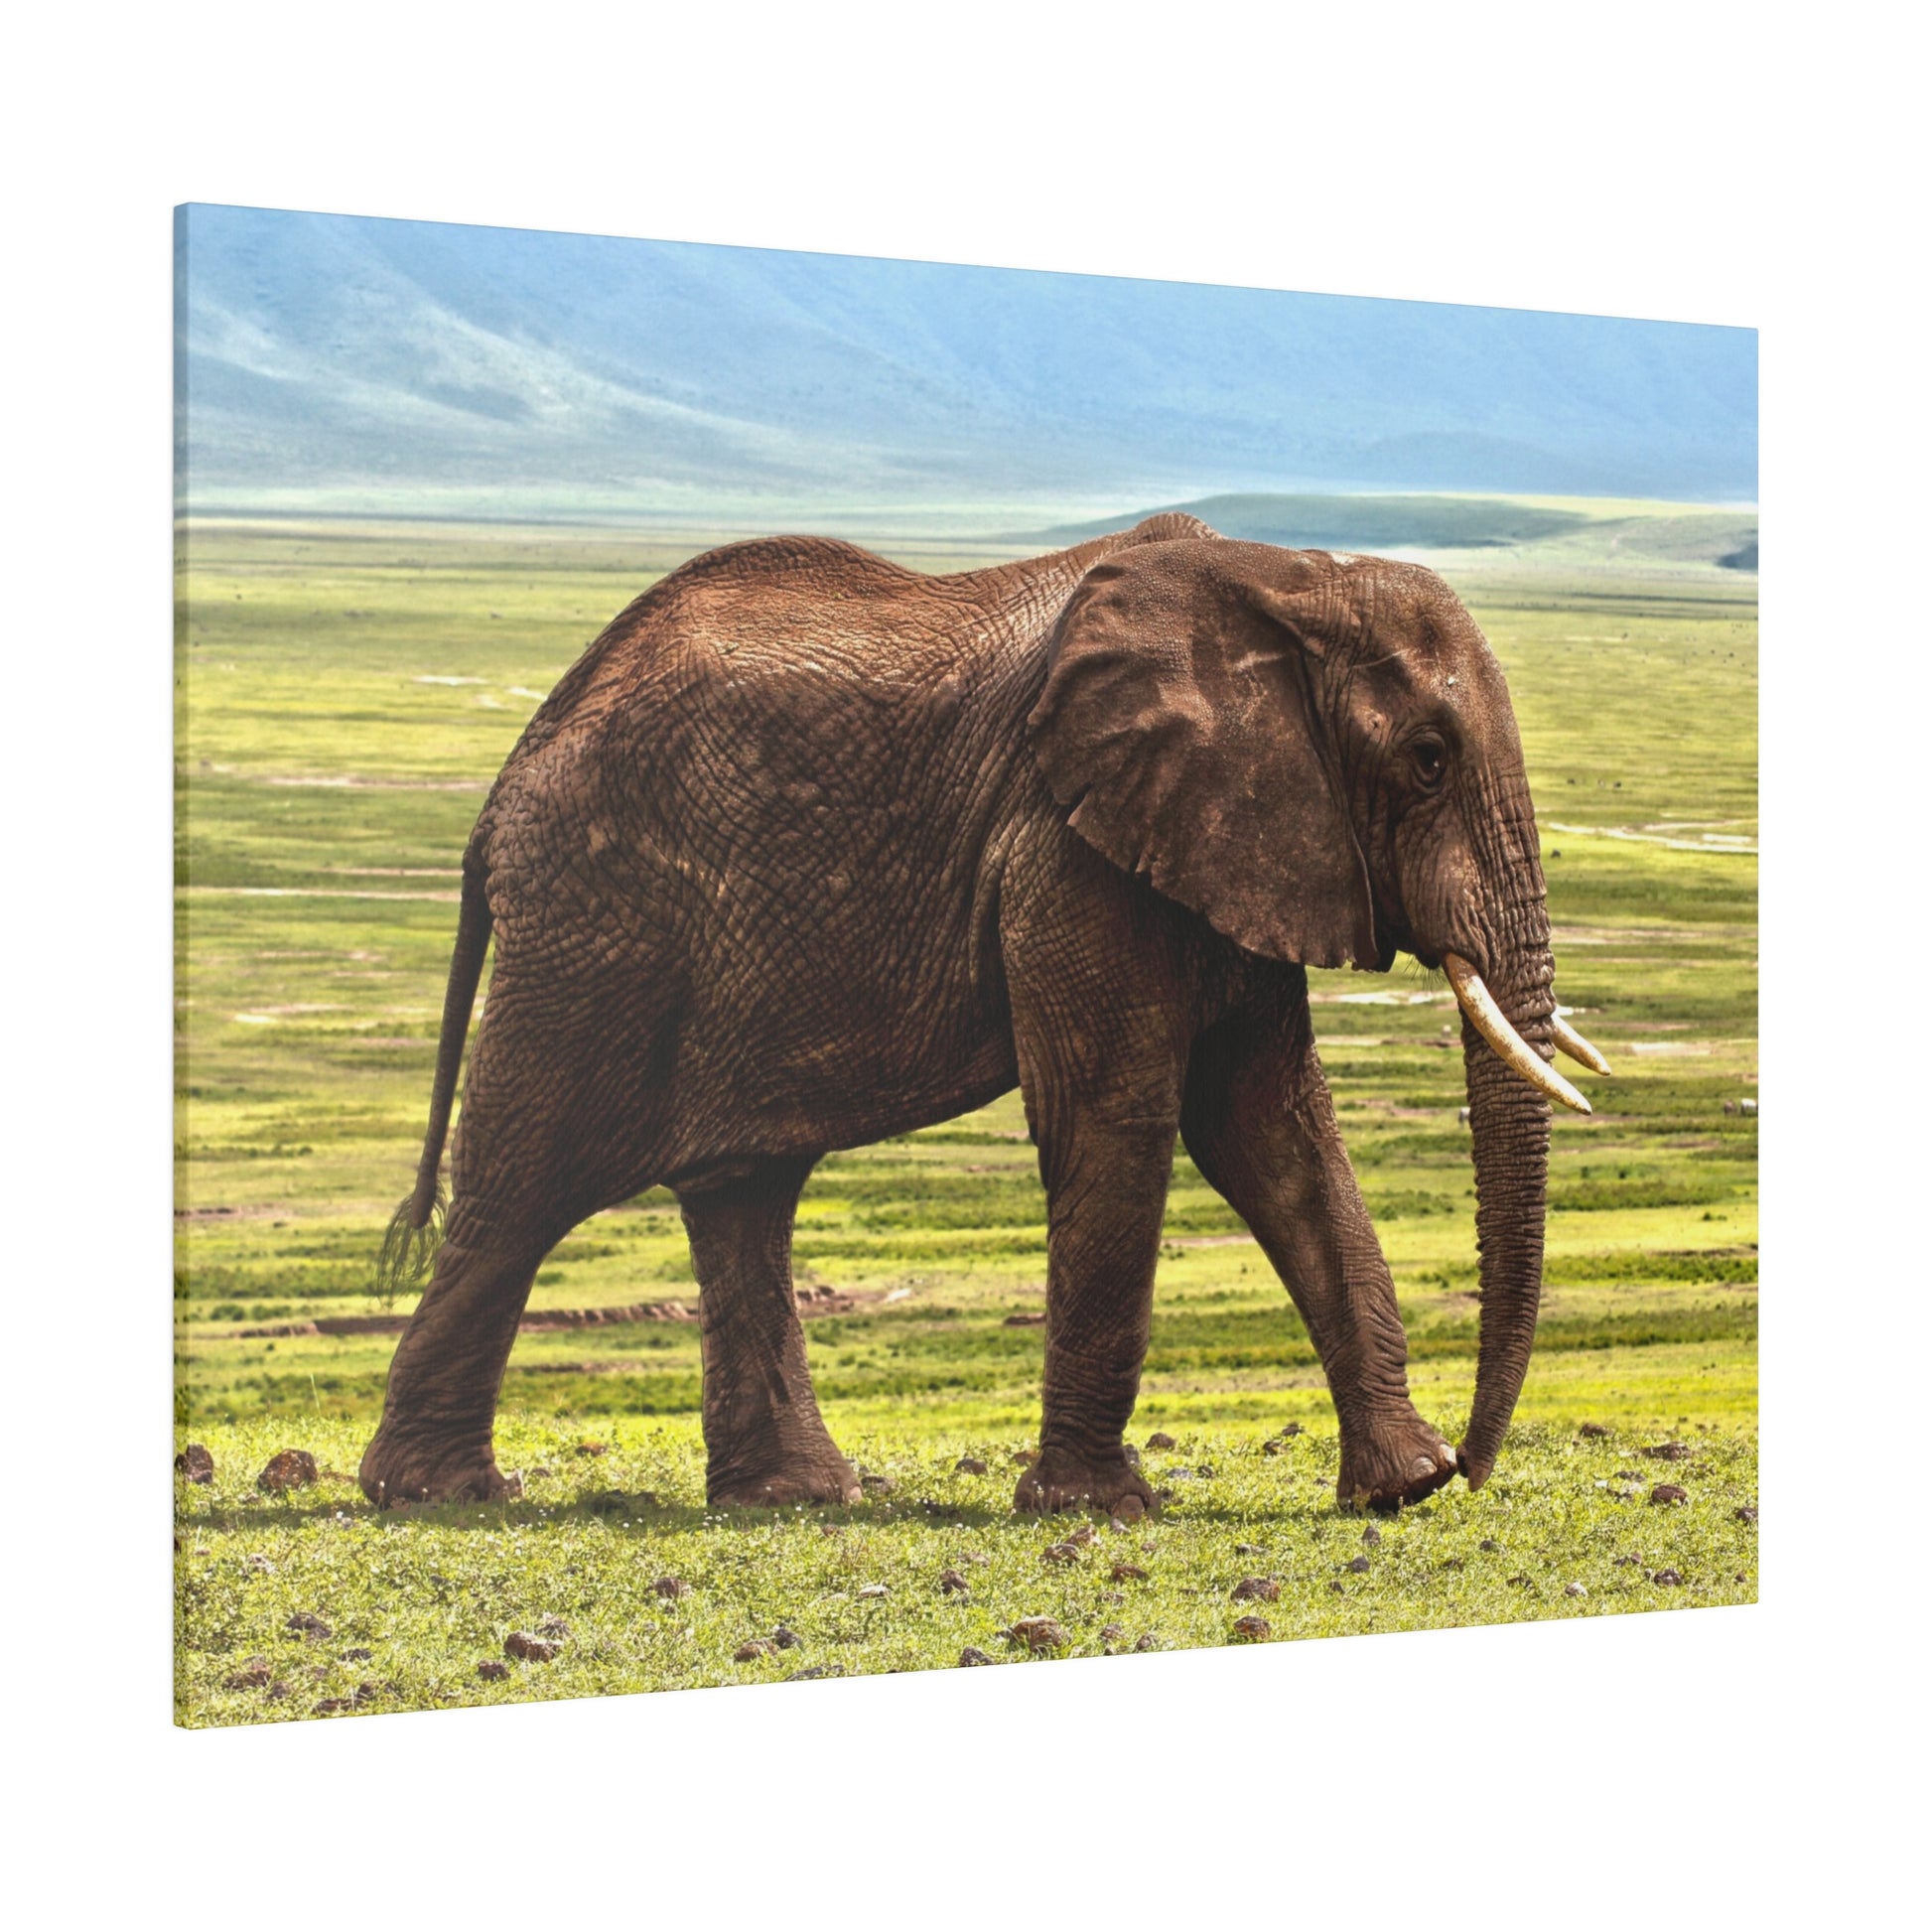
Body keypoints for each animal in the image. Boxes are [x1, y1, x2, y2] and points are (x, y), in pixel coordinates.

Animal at [359, 511, 1608, 1516]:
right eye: (1428, 759)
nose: (1477, 1466)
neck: (1284, 577)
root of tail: (510, 774)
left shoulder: (1232, 844)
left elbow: (1274, 1133)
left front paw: (1401, 1488)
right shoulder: (1067, 849)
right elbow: (1117, 1120)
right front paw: (1096, 1509)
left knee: (741, 1189)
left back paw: (795, 1497)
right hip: (597, 927)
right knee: (523, 1186)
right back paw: (435, 1493)